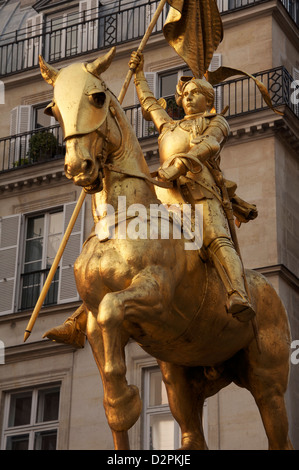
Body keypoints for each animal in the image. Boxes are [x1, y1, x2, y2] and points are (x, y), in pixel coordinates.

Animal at [39, 48, 292, 452]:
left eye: (97, 97)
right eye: (53, 109)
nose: (78, 167)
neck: (120, 221)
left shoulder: (155, 293)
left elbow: (113, 309)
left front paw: (127, 399)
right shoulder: (93, 321)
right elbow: (110, 386)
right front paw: (120, 405)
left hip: (268, 381)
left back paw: (240, 301)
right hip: (180, 375)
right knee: (191, 434)